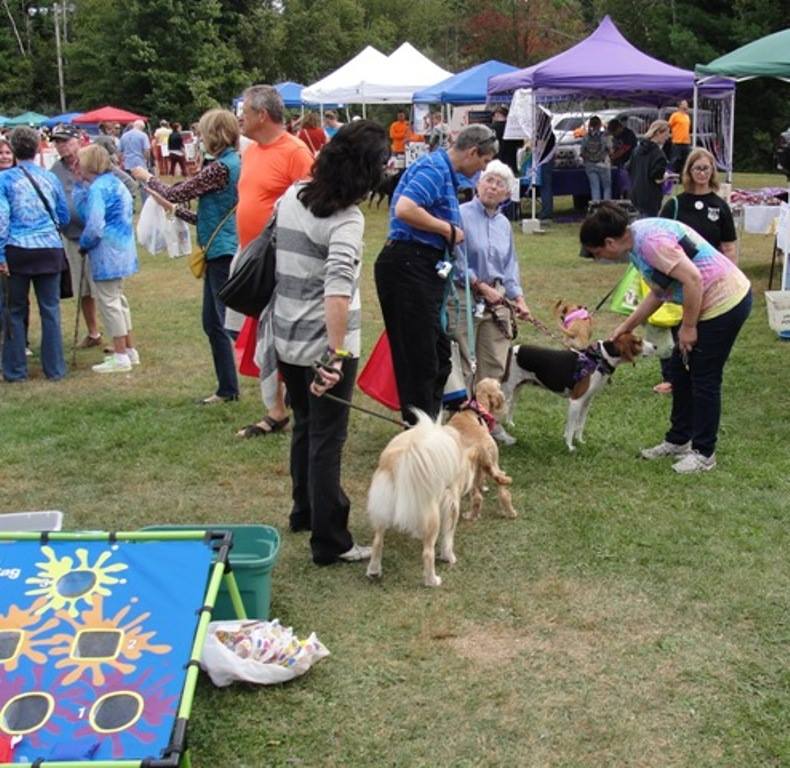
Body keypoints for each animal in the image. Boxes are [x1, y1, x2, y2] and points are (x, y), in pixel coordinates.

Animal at [504, 332, 660, 450]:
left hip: (517, 389)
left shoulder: (586, 402)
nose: (656, 346)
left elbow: (579, 425)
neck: (599, 359)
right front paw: (570, 446)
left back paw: (510, 424)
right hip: (506, 390)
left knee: (511, 407)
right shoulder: (576, 401)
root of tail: (511, 349)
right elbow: (572, 426)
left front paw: (579, 441)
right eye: (638, 341)